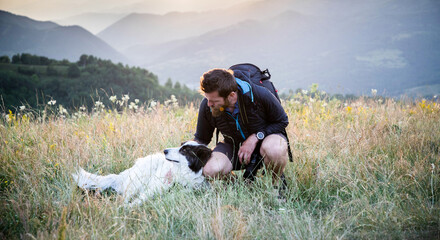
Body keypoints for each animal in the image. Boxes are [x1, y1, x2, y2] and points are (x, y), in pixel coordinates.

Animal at [72, 141, 211, 206]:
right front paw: (127, 209)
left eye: (184, 150)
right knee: (125, 197)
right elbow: (139, 200)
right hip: (140, 178)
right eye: (180, 146)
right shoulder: (153, 188)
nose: (165, 150)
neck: (183, 175)